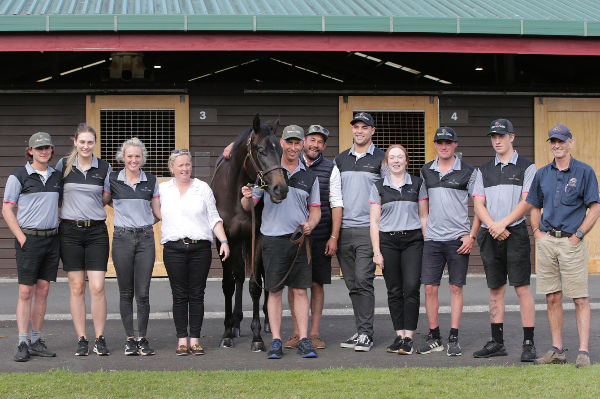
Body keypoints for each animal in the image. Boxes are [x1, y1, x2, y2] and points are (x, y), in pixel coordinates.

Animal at [210, 114, 288, 352]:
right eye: (261, 150)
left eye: (280, 151)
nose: (281, 189)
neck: (236, 195)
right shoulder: (223, 240)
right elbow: (228, 284)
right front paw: (227, 332)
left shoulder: (257, 239)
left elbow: (255, 284)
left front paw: (256, 336)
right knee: (237, 277)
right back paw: (235, 323)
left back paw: (267, 322)